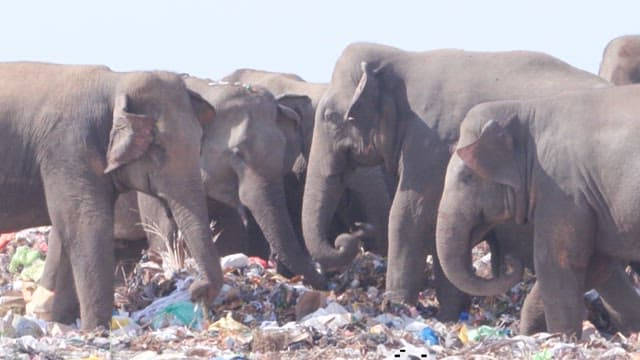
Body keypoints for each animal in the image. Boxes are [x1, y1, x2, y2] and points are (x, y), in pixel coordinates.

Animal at [0, 62, 222, 330]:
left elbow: (67, 229)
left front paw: (65, 325)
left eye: (199, 144)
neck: (117, 82)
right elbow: (87, 225)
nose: (195, 291)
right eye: (156, 146)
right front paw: (95, 331)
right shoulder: (69, 148)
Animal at [300, 42, 608, 320]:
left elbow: (410, 214)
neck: (402, 58)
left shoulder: (432, 141)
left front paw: (398, 306)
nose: (351, 235)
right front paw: (448, 314)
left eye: (329, 117)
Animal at [436, 84, 640, 338]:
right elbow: (594, 265)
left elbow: (555, 262)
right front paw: (534, 334)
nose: (509, 260)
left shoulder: (562, 189)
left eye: (468, 177)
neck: (525, 109)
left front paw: (562, 338)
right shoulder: (588, 200)